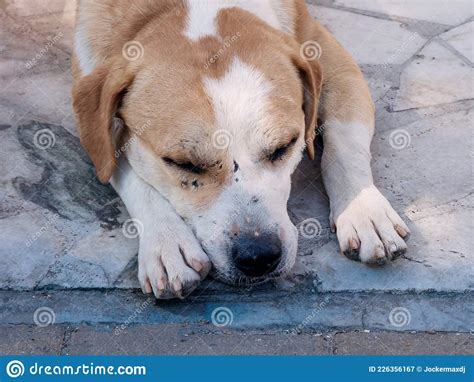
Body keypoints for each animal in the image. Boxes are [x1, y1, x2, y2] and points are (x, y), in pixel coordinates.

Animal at [72, 0, 410, 298]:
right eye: (183, 163)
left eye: (284, 147)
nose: (258, 256)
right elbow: (121, 171)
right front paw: (166, 242)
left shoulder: (326, 53)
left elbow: (345, 136)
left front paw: (365, 209)